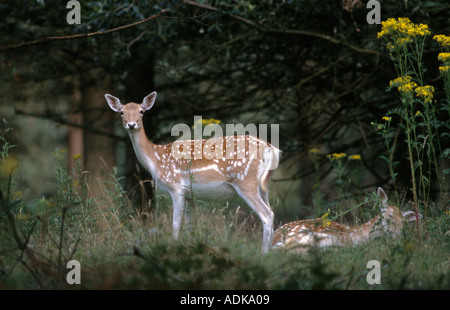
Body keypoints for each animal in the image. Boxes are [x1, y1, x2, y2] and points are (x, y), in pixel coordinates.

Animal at [106, 91, 282, 252]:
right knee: (272, 212)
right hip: (263, 185)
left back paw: (263, 253)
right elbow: (190, 225)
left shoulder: (176, 186)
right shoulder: (190, 193)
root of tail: (271, 149)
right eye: (121, 112)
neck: (155, 158)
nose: (131, 124)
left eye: (141, 111)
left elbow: (176, 223)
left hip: (245, 181)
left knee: (267, 215)